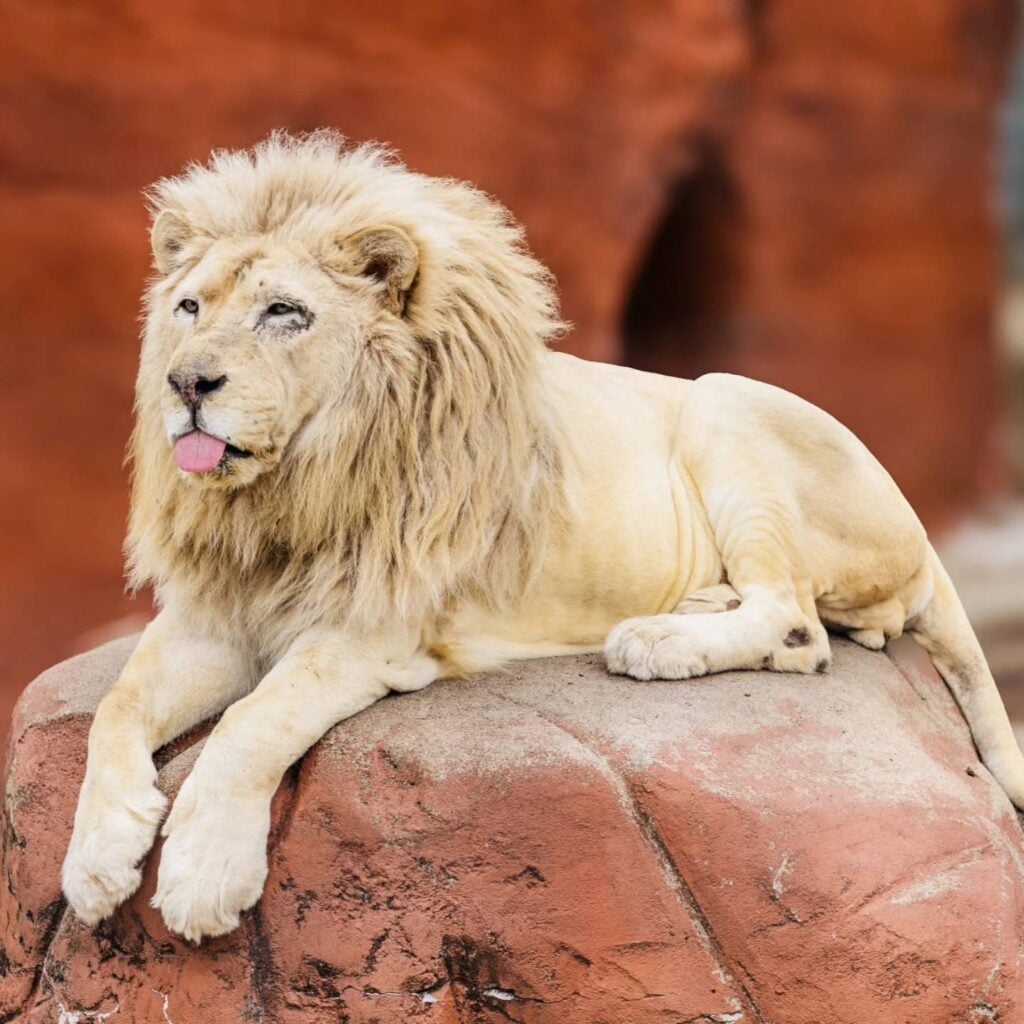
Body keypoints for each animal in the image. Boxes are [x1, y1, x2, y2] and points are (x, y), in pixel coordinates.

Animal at [62, 131, 1024, 942]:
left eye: (284, 313)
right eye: (190, 307)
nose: (187, 382)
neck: (287, 493)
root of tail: (919, 527)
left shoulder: (376, 623)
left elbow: (254, 720)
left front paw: (202, 876)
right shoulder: (214, 609)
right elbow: (115, 708)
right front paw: (95, 862)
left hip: (722, 399)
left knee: (799, 627)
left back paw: (655, 641)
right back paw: (696, 603)